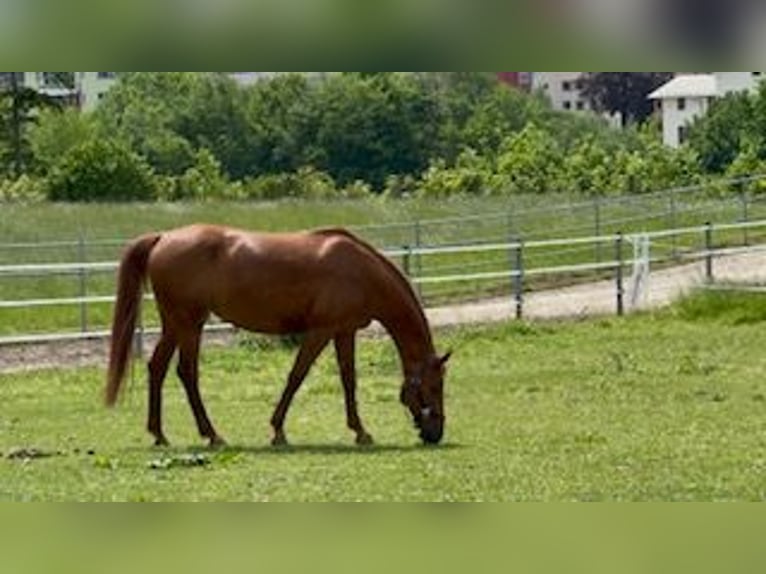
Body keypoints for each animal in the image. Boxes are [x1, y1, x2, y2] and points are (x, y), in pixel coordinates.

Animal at [105, 224, 451, 447]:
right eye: (434, 386)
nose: (436, 433)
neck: (360, 270)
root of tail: (163, 238)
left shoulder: (344, 331)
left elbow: (348, 379)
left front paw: (360, 431)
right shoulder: (320, 331)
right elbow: (297, 375)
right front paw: (278, 431)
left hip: (177, 325)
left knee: (158, 368)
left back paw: (159, 434)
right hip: (189, 324)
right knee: (186, 372)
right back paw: (212, 435)